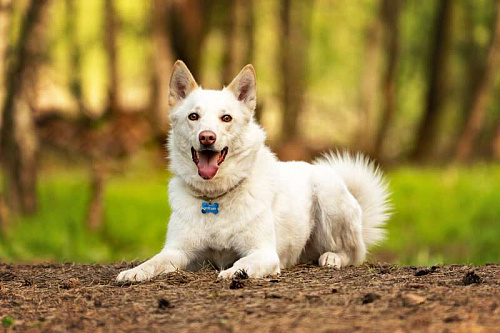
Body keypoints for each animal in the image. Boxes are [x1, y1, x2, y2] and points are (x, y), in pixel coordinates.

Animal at [117, 61, 390, 282]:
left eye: (226, 118)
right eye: (193, 116)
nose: (207, 137)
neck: (214, 198)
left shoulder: (263, 253)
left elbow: (243, 262)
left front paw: (234, 272)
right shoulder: (179, 251)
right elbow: (155, 261)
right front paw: (134, 272)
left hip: (330, 196)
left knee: (355, 253)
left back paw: (333, 257)